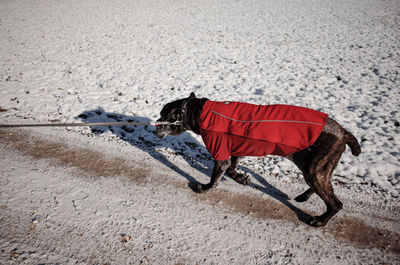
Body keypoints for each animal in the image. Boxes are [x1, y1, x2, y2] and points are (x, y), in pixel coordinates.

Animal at [155, 92, 360, 225]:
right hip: (315, 167)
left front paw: (205, 188)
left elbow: (215, 177)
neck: (198, 112)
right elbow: (232, 169)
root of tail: (343, 132)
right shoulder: (235, 150)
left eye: (164, 115)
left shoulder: (221, 153)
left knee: (336, 203)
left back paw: (320, 221)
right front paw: (241, 179)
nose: (155, 124)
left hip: (314, 169)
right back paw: (304, 196)